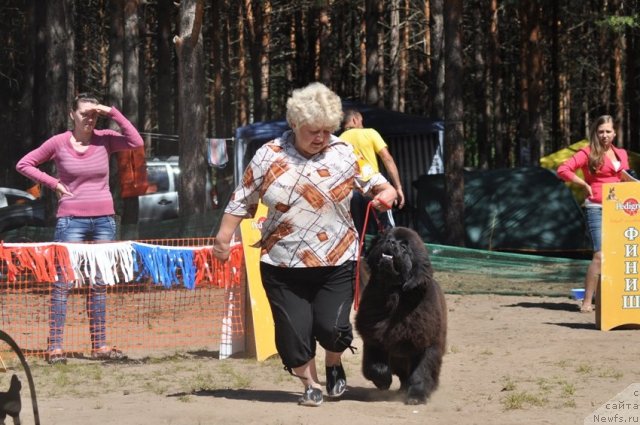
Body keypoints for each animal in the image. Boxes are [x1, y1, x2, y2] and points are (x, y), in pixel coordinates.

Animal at [356, 225, 444, 404]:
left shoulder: (426, 344)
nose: (391, 242)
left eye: (404, 247)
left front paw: (417, 396)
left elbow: (421, 373)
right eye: (385, 238)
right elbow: (375, 366)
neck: (394, 296)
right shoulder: (374, 338)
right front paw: (383, 381)